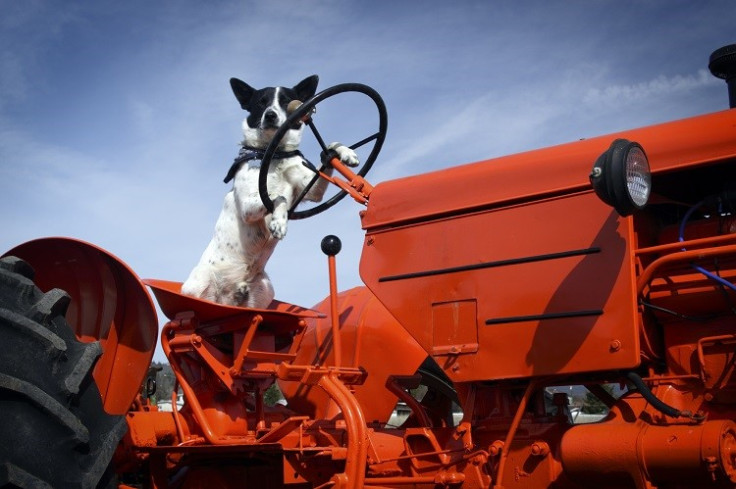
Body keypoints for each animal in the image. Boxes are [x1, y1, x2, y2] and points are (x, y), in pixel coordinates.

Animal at [181, 74, 360, 306]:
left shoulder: (312, 190)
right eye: (261, 102)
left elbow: (328, 149)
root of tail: (227, 298)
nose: (271, 115)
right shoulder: (248, 206)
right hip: (194, 288)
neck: (274, 153)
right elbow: (279, 196)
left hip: (265, 290)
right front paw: (279, 222)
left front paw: (345, 153)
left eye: (286, 101)